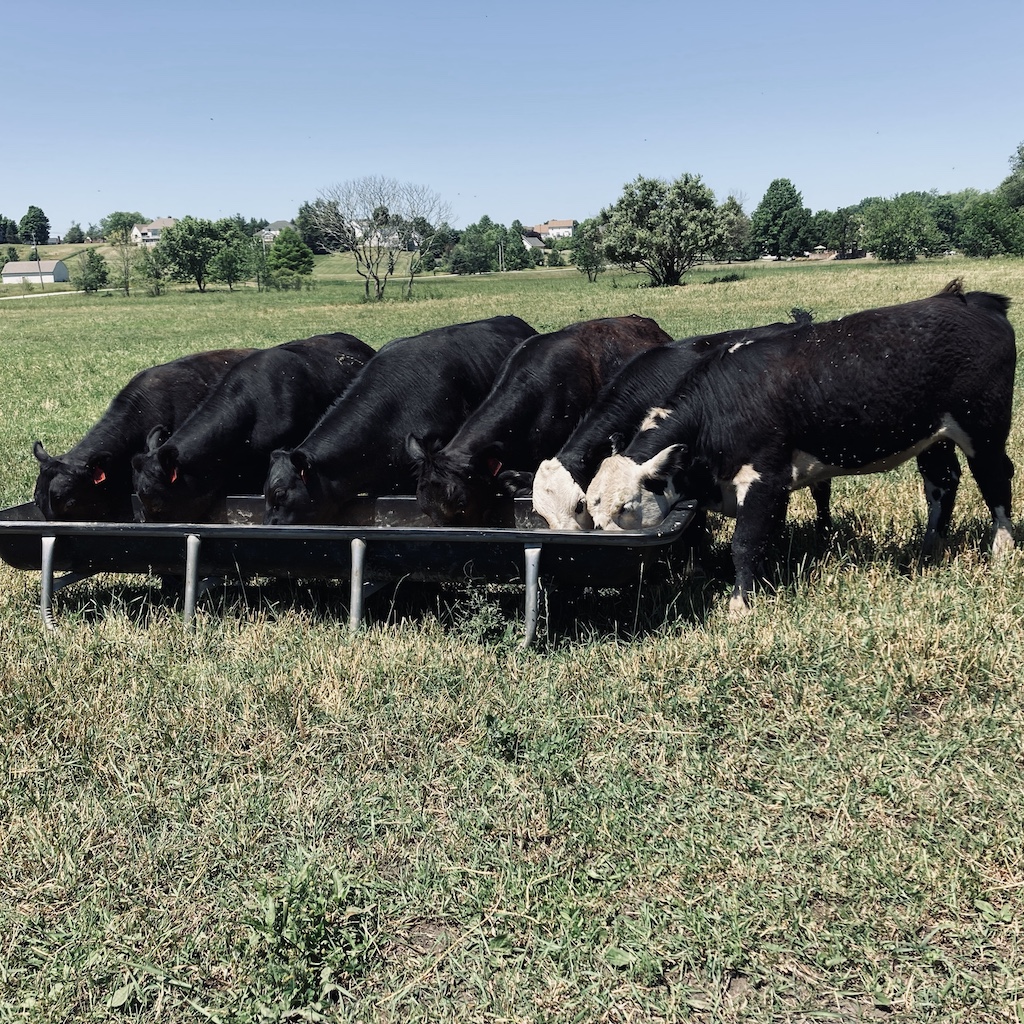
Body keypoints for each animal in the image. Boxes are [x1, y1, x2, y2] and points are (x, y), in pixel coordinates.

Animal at [584, 281, 1016, 614]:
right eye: (591, 508)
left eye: (625, 507)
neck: (719, 405)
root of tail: (972, 301)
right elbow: (766, 539)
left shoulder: (763, 478)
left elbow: (745, 543)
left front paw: (740, 605)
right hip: (934, 438)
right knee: (942, 483)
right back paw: (930, 547)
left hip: (984, 430)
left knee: (995, 480)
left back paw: (1002, 548)